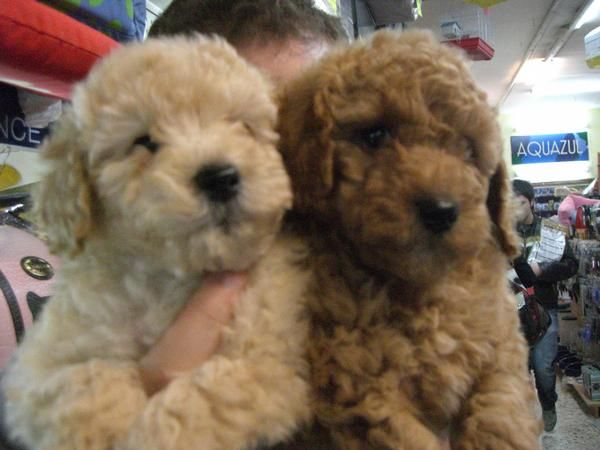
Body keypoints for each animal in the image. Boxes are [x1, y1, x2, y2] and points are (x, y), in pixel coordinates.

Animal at [4, 35, 312, 450]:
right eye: (144, 142)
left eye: (242, 125)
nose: (220, 177)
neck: (170, 277)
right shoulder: (37, 366)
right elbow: (81, 384)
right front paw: (113, 427)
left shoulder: (266, 360)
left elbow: (195, 404)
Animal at [276, 29, 540, 450]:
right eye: (374, 134)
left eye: (469, 149)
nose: (441, 210)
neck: (422, 291)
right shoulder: (359, 391)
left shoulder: (502, 347)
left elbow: (500, 412)